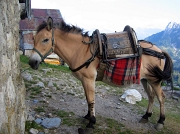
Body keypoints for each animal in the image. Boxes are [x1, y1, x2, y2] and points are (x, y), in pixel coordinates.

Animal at [28, 16, 173, 130]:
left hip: (154, 80)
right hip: (145, 79)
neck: (81, 50)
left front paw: (91, 123)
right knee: (151, 96)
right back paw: (146, 116)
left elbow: (91, 100)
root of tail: (160, 51)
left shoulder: (89, 79)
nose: (32, 62)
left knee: (161, 97)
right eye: (34, 38)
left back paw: (161, 121)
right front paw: (87, 116)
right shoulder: (84, 80)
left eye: (45, 40)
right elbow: (87, 99)